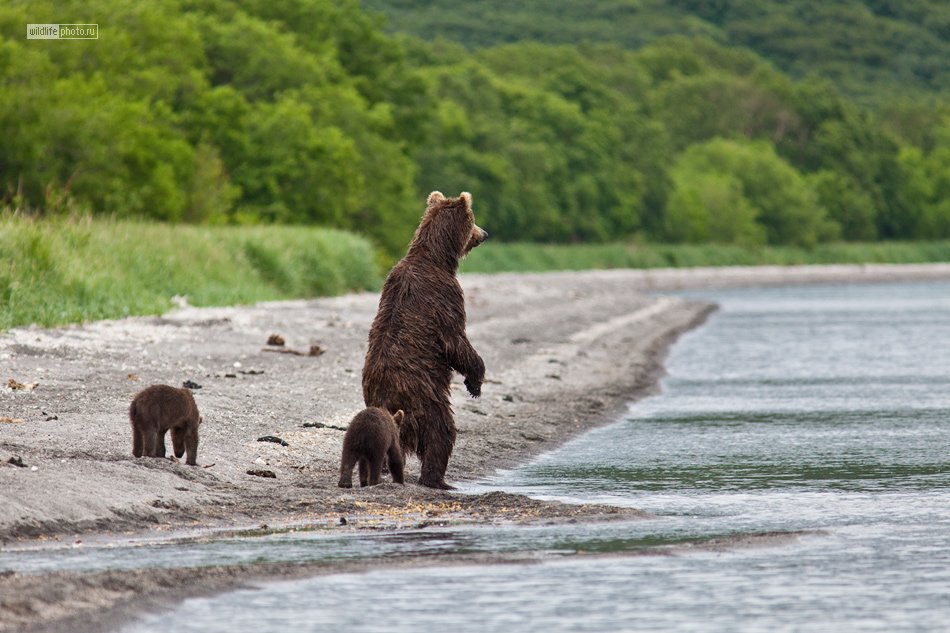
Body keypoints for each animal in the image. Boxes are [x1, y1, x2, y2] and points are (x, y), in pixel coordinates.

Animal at [360, 189, 488, 488]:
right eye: (473, 220)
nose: (485, 233)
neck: (436, 259)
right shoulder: (446, 297)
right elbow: (456, 342)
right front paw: (475, 381)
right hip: (426, 399)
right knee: (441, 432)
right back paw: (437, 479)